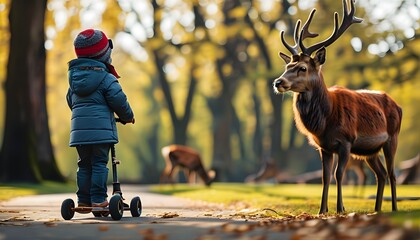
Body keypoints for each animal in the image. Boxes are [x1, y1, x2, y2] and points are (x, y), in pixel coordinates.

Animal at [272, 0, 404, 214]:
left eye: (302, 68)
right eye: (287, 67)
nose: (278, 82)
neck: (326, 120)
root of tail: (398, 106)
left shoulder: (346, 141)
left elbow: (338, 174)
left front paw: (341, 208)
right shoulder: (324, 147)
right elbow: (325, 177)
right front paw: (322, 210)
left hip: (392, 138)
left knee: (392, 174)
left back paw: (393, 208)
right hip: (370, 151)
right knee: (381, 174)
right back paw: (376, 208)